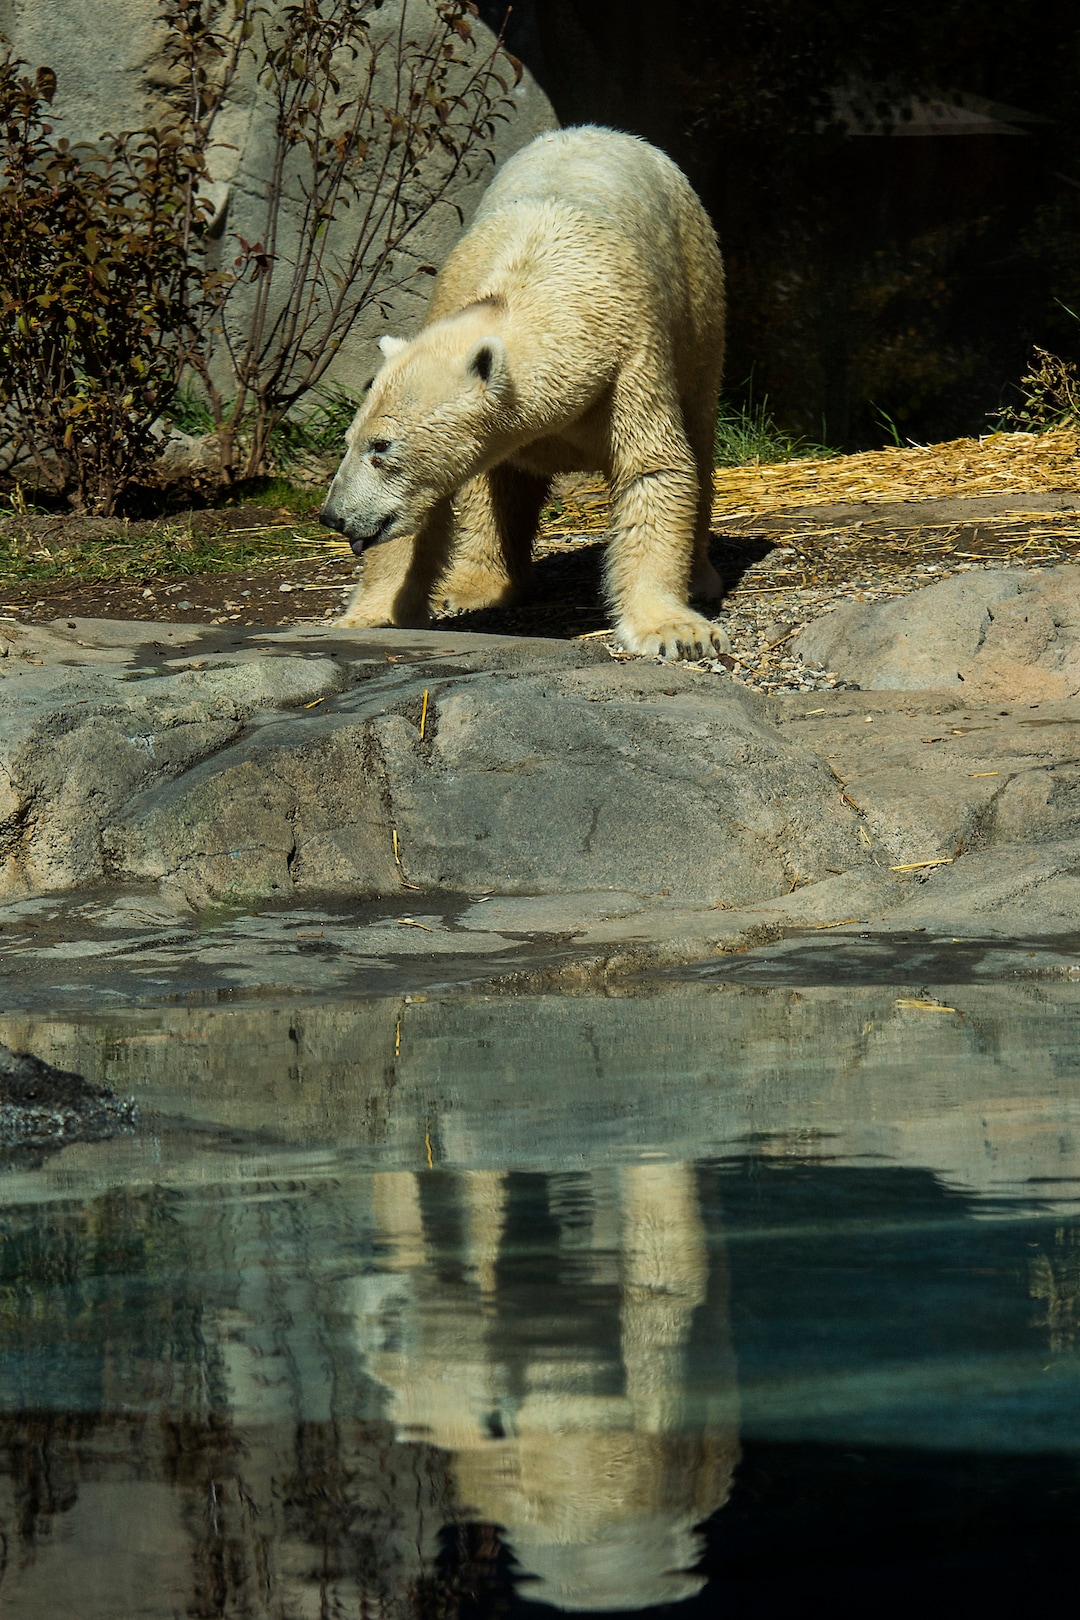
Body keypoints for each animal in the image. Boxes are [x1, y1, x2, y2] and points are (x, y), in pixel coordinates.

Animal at [320, 124, 729, 659]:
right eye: (350, 440)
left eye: (382, 446)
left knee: (699, 428)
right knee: (497, 489)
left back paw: (701, 579)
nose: (333, 516)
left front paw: (675, 631)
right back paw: (477, 585)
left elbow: (655, 470)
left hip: (699, 292)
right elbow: (423, 509)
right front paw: (372, 615)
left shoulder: (631, 362)